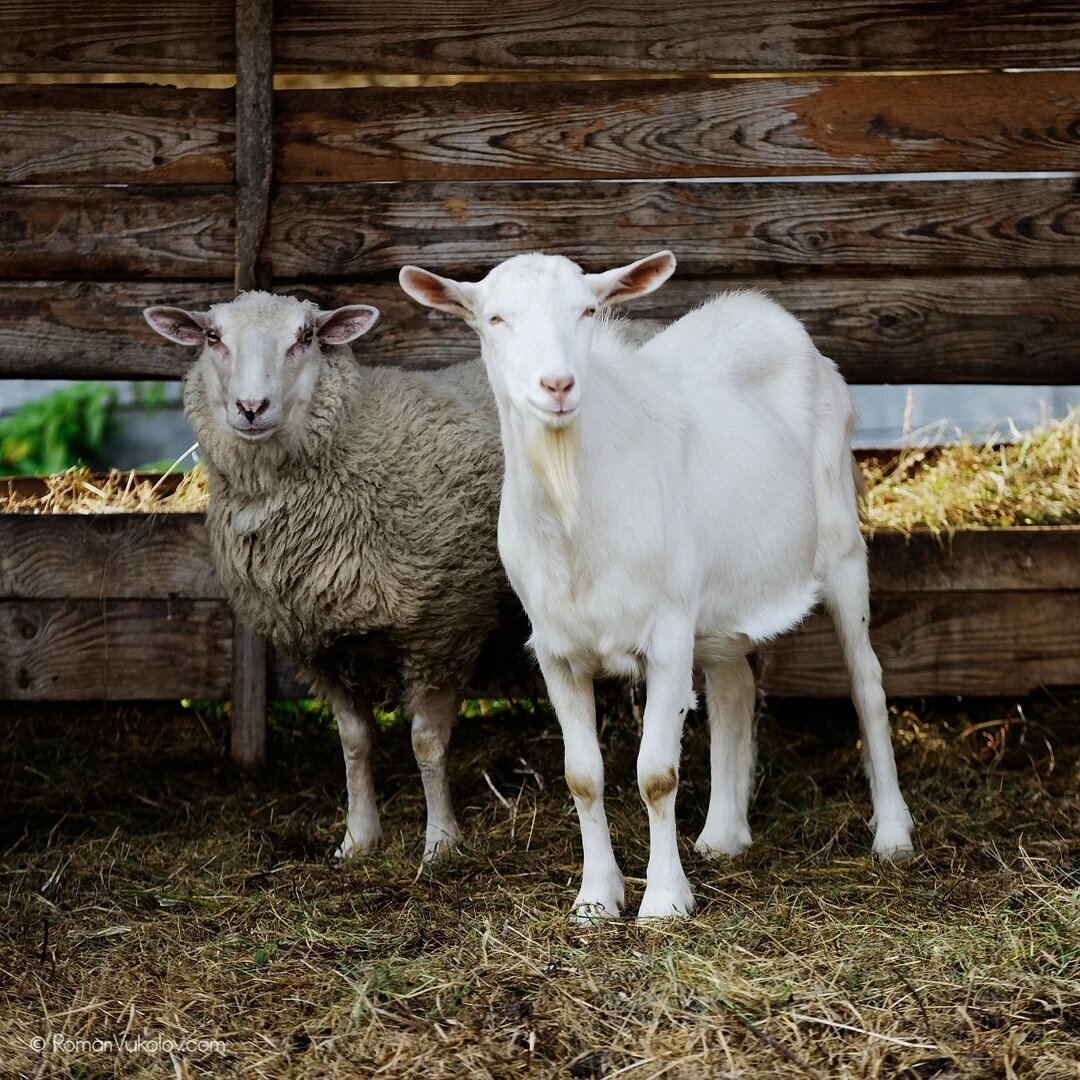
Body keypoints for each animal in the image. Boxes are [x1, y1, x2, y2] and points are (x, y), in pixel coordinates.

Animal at [145, 291, 516, 864]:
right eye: (212, 337)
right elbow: (354, 742)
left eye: (306, 337)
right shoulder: (320, 640)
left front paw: (440, 845)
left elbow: (427, 741)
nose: (251, 408)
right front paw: (358, 840)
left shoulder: (445, 625)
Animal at [401, 250, 915, 920]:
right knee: (734, 686)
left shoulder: (666, 633)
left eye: (587, 311)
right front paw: (596, 899)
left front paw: (665, 901)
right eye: (495, 318)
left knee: (867, 683)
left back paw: (893, 835)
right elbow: (582, 775)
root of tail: (764, 310)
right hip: (718, 595)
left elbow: (656, 774)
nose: (557, 386)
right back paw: (724, 835)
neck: (575, 511)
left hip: (842, 549)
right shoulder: (556, 649)